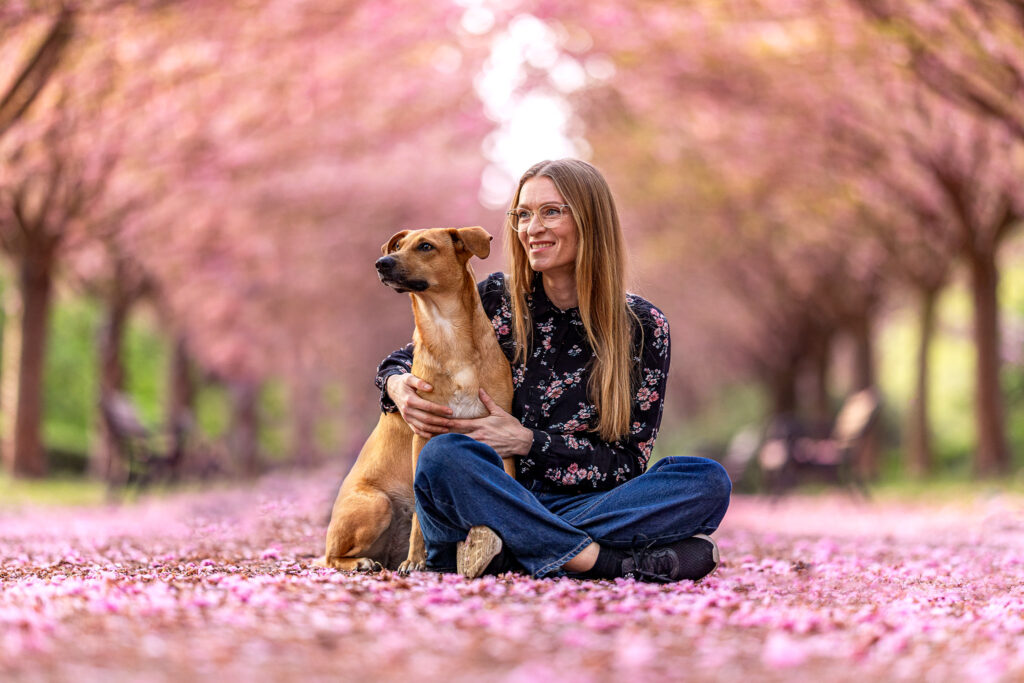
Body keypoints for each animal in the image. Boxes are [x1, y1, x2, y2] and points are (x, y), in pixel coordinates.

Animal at [315, 227, 516, 573]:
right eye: (398, 246)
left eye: (425, 246)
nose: (381, 263)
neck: (448, 333)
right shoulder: (424, 436)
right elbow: (421, 518)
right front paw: (416, 561)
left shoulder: (503, 435)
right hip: (377, 503)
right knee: (331, 558)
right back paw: (362, 562)